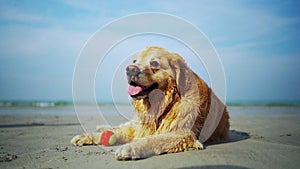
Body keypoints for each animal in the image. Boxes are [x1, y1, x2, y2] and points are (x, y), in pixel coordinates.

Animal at [71, 46, 230, 160]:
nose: (130, 69)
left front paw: (130, 148)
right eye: (134, 62)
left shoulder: (183, 133)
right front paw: (89, 136)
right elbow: (118, 132)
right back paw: (95, 130)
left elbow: (153, 140)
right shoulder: (141, 127)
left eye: (154, 63)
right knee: (120, 127)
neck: (164, 104)